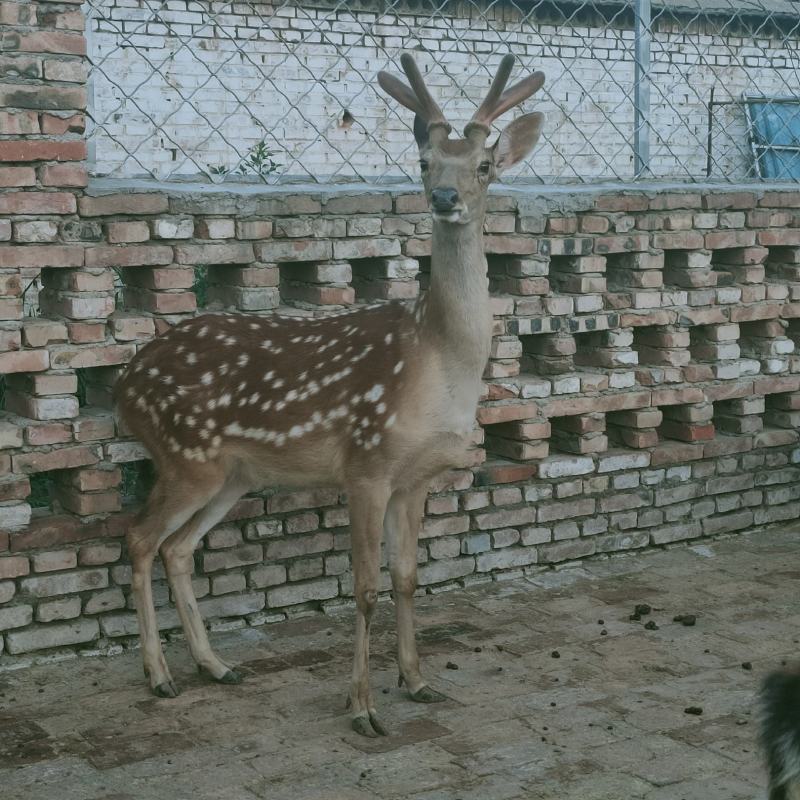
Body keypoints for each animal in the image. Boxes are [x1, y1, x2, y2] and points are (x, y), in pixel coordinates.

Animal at [114, 53, 545, 737]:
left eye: (483, 165)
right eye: (424, 161)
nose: (445, 197)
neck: (438, 359)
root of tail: (122, 383)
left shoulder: (416, 477)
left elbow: (408, 578)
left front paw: (417, 681)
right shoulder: (366, 463)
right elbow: (364, 588)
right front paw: (363, 707)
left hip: (233, 474)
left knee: (178, 548)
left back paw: (215, 666)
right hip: (185, 455)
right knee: (139, 539)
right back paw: (159, 676)